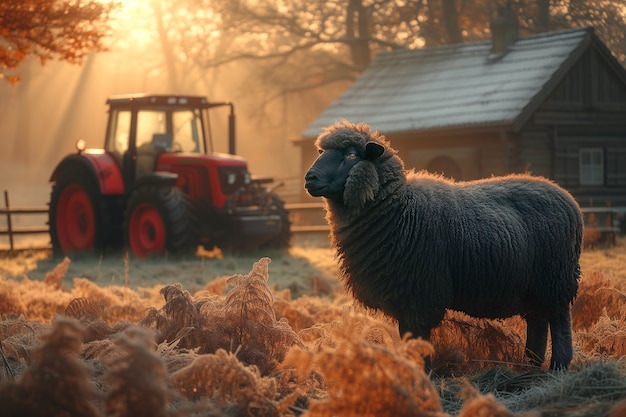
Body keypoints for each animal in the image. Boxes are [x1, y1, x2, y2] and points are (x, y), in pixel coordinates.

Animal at [302, 119, 580, 368]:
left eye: (351, 155)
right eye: (321, 153)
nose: (309, 178)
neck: (400, 210)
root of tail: (567, 198)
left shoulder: (421, 293)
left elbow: (419, 342)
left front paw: (423, 376)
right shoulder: (404, 295)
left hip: (556, 279)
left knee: (559, 322)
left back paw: (558, 366)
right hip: (535, 286)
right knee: (537, 322)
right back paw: (529, 367)